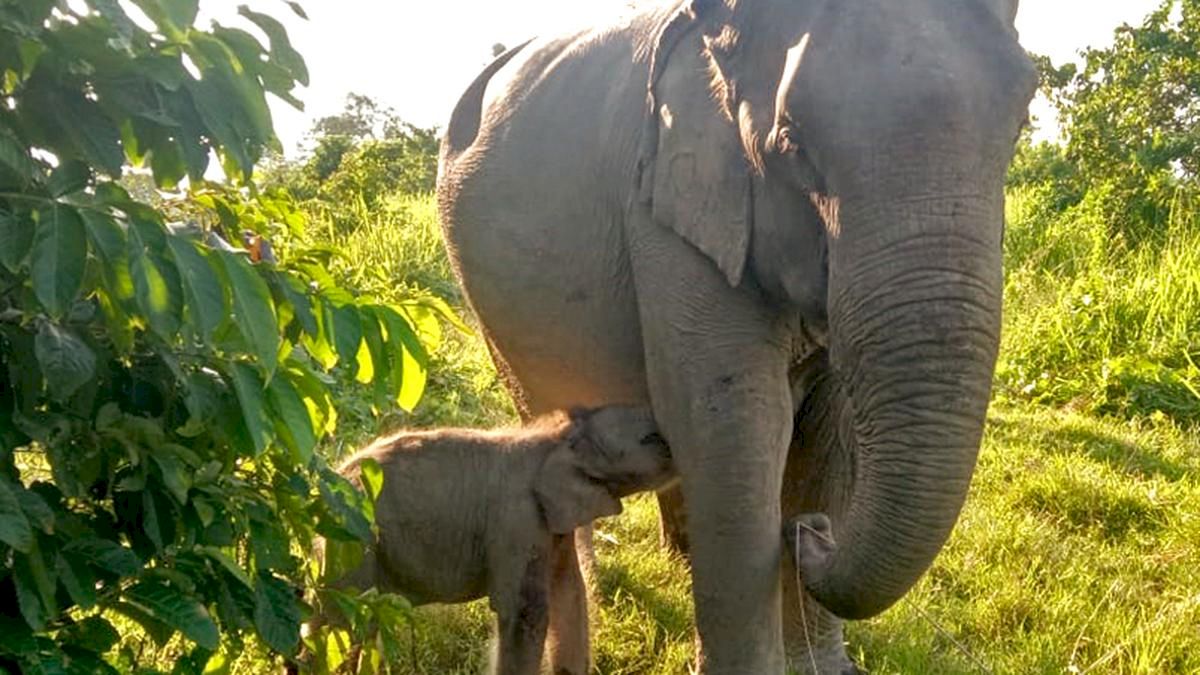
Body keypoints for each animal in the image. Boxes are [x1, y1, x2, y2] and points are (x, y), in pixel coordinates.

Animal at [314, 406, 675, 675]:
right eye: (652, 439)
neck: (555, 436)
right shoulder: (515, 521)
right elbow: (525, 613)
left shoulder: (552, 530)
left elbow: (569, 594)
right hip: (351, 546)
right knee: (349, 627)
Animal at [435, 0, 1035, 672]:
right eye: (792, 144)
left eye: (1020, 124)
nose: (811, 531)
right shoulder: (665, 213)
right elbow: (735, 422)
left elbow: (828, 432)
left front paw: (822, 665)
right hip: (487, 305)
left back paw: (682, 557)